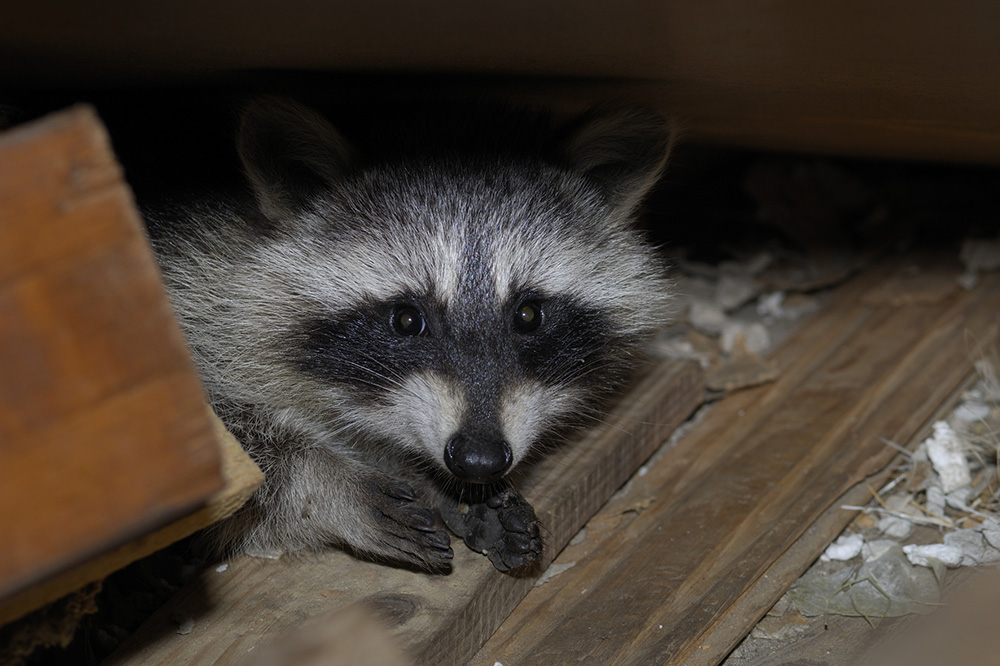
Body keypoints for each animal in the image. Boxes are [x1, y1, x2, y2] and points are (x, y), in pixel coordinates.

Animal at [145, 97, 676, 572]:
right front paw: (327, 481)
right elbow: (221, 466)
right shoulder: (193, 284)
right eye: (406, 319)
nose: (478, 459)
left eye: (528, 315)